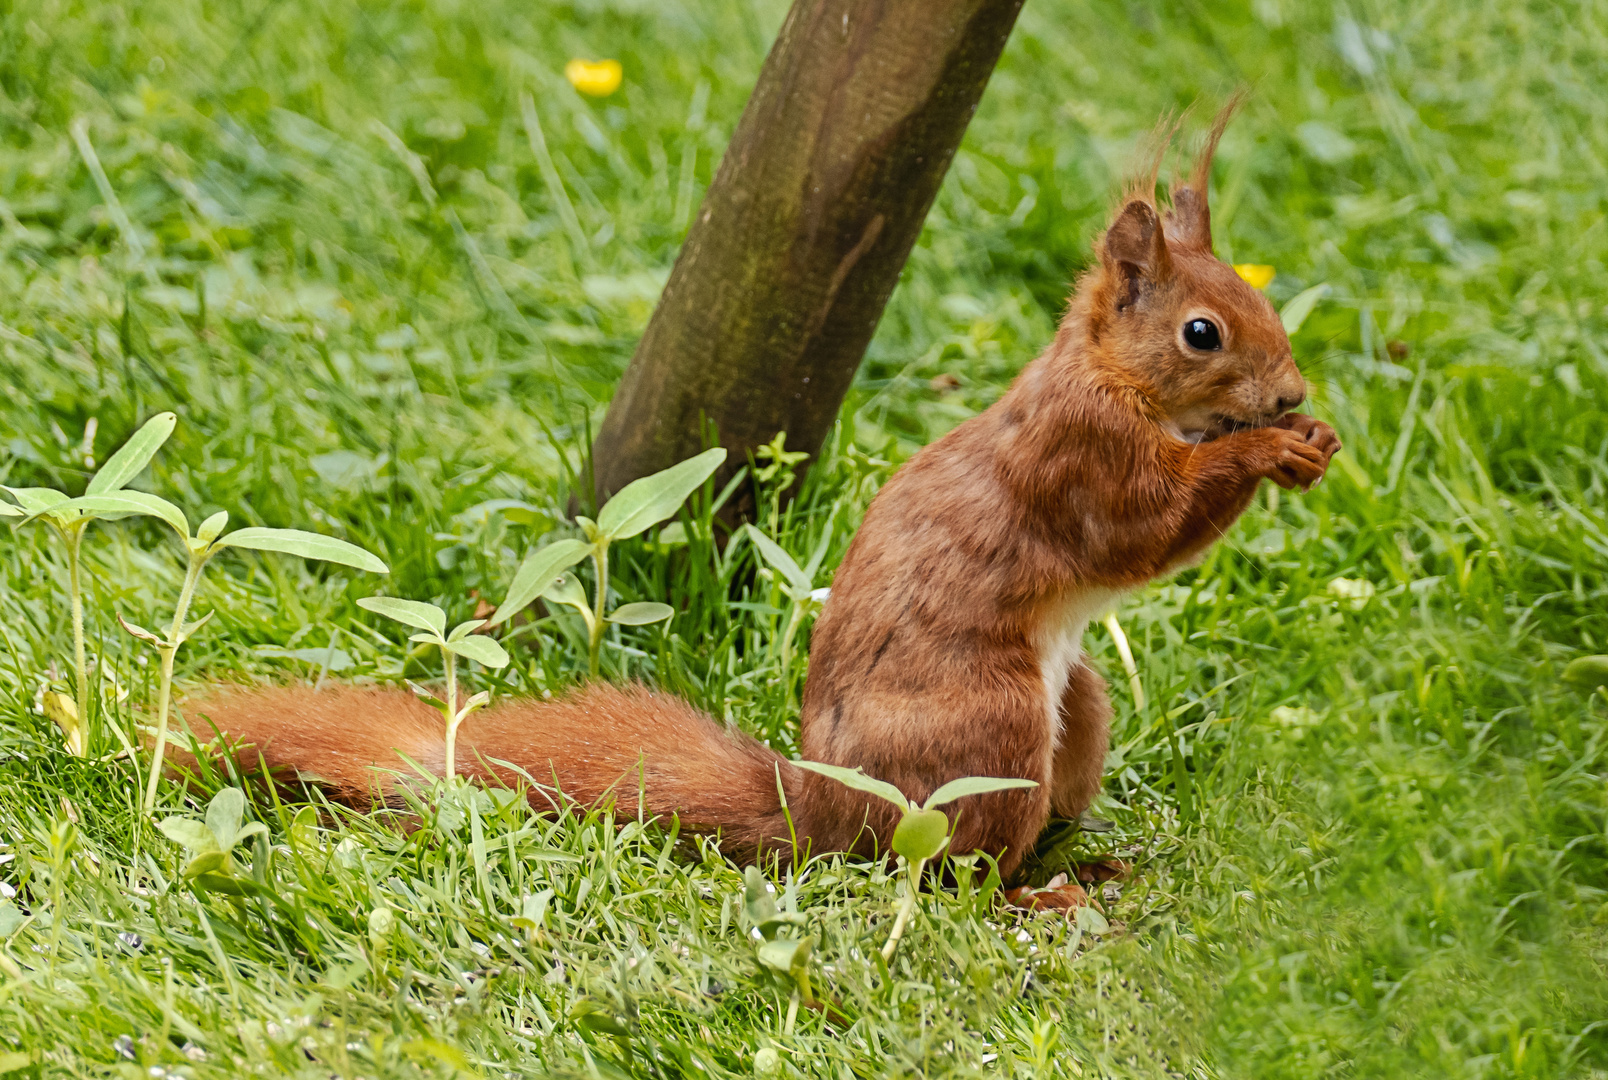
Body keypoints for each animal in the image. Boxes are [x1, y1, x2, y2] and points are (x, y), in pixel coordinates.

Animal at [194, 111, 1337, 887]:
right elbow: (1144, 530)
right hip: (992, 728)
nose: (1291, 393)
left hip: (1076, 708)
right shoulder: (1079, 458)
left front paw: (1310, 441)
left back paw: (1084, 861)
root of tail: (823, 813)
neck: (1109, 377)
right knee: (947, 873)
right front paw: (1269, 451)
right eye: (1201, 332)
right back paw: (1038, 895)